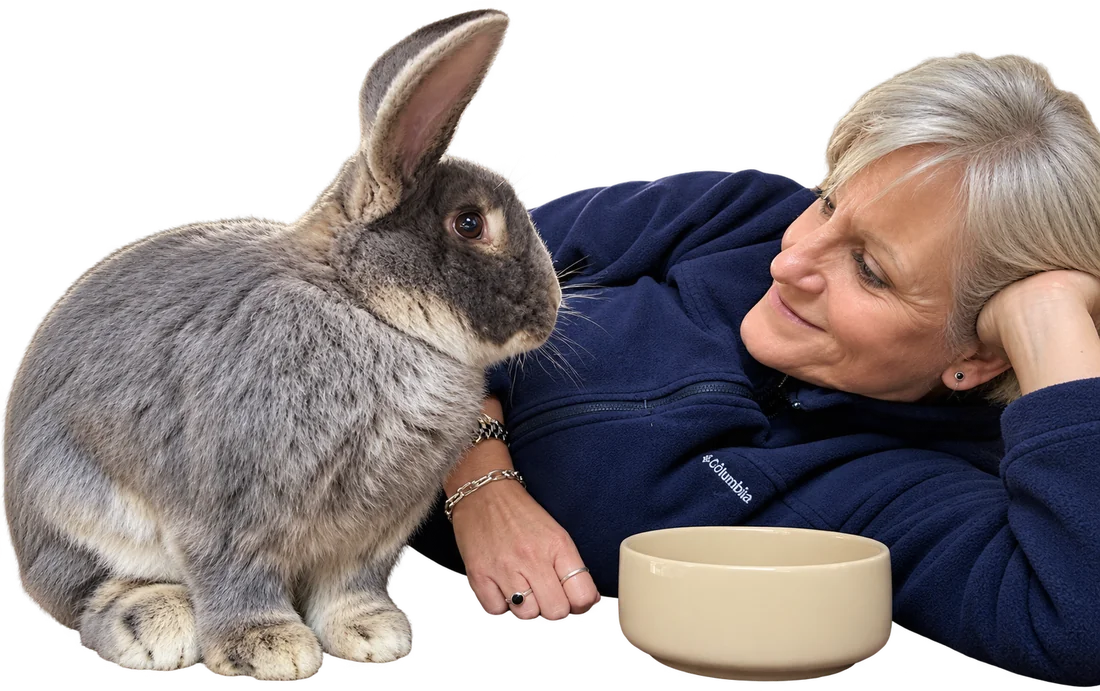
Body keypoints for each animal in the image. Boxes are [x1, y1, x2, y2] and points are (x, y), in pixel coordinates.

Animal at [0, 6, 559, 683]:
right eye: (470, 224)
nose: (549, 313)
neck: (363, 306)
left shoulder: (373, 534)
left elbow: (351, 587)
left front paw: (375, 636)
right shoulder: (236, 509)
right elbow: (237, 577)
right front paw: (271, 649)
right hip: (77, 511)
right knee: (86, 590)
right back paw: (154, 623)